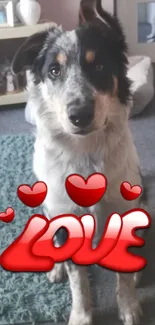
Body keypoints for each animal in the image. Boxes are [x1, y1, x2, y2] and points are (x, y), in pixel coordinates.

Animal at [11, 1, 148, 322]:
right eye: (54, 70)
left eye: (98, 66)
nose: (80, 115)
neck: (86, 153)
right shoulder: (64, 211)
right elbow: (78, 281)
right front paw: (81, 316)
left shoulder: (122, 207)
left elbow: (123, 275)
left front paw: (129, 307)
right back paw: (56, 268)